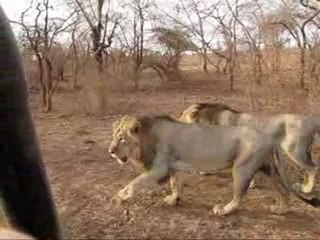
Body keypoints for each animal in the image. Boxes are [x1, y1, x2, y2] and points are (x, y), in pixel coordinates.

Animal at [108, 114, 320, 216]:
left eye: (121, 139)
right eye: (113, 136)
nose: (110, 151)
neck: (147, 136)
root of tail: (269, 139)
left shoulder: (159, 167)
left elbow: (134, 183)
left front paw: (119, 197)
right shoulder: (174, 166)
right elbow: (175, 184)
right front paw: (174, 199)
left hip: (242, 168)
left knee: (239, 197)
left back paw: (224, 211)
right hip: (269, 170)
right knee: (284, 192)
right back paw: (280, 210)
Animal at [180, 102, 320, 193]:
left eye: (182, 116)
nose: (176, 120)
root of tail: (310, 121)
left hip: (294, 151)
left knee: (313, 168)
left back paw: (307, 190)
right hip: (303, 152)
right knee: (310, 168)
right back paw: (303, 186)